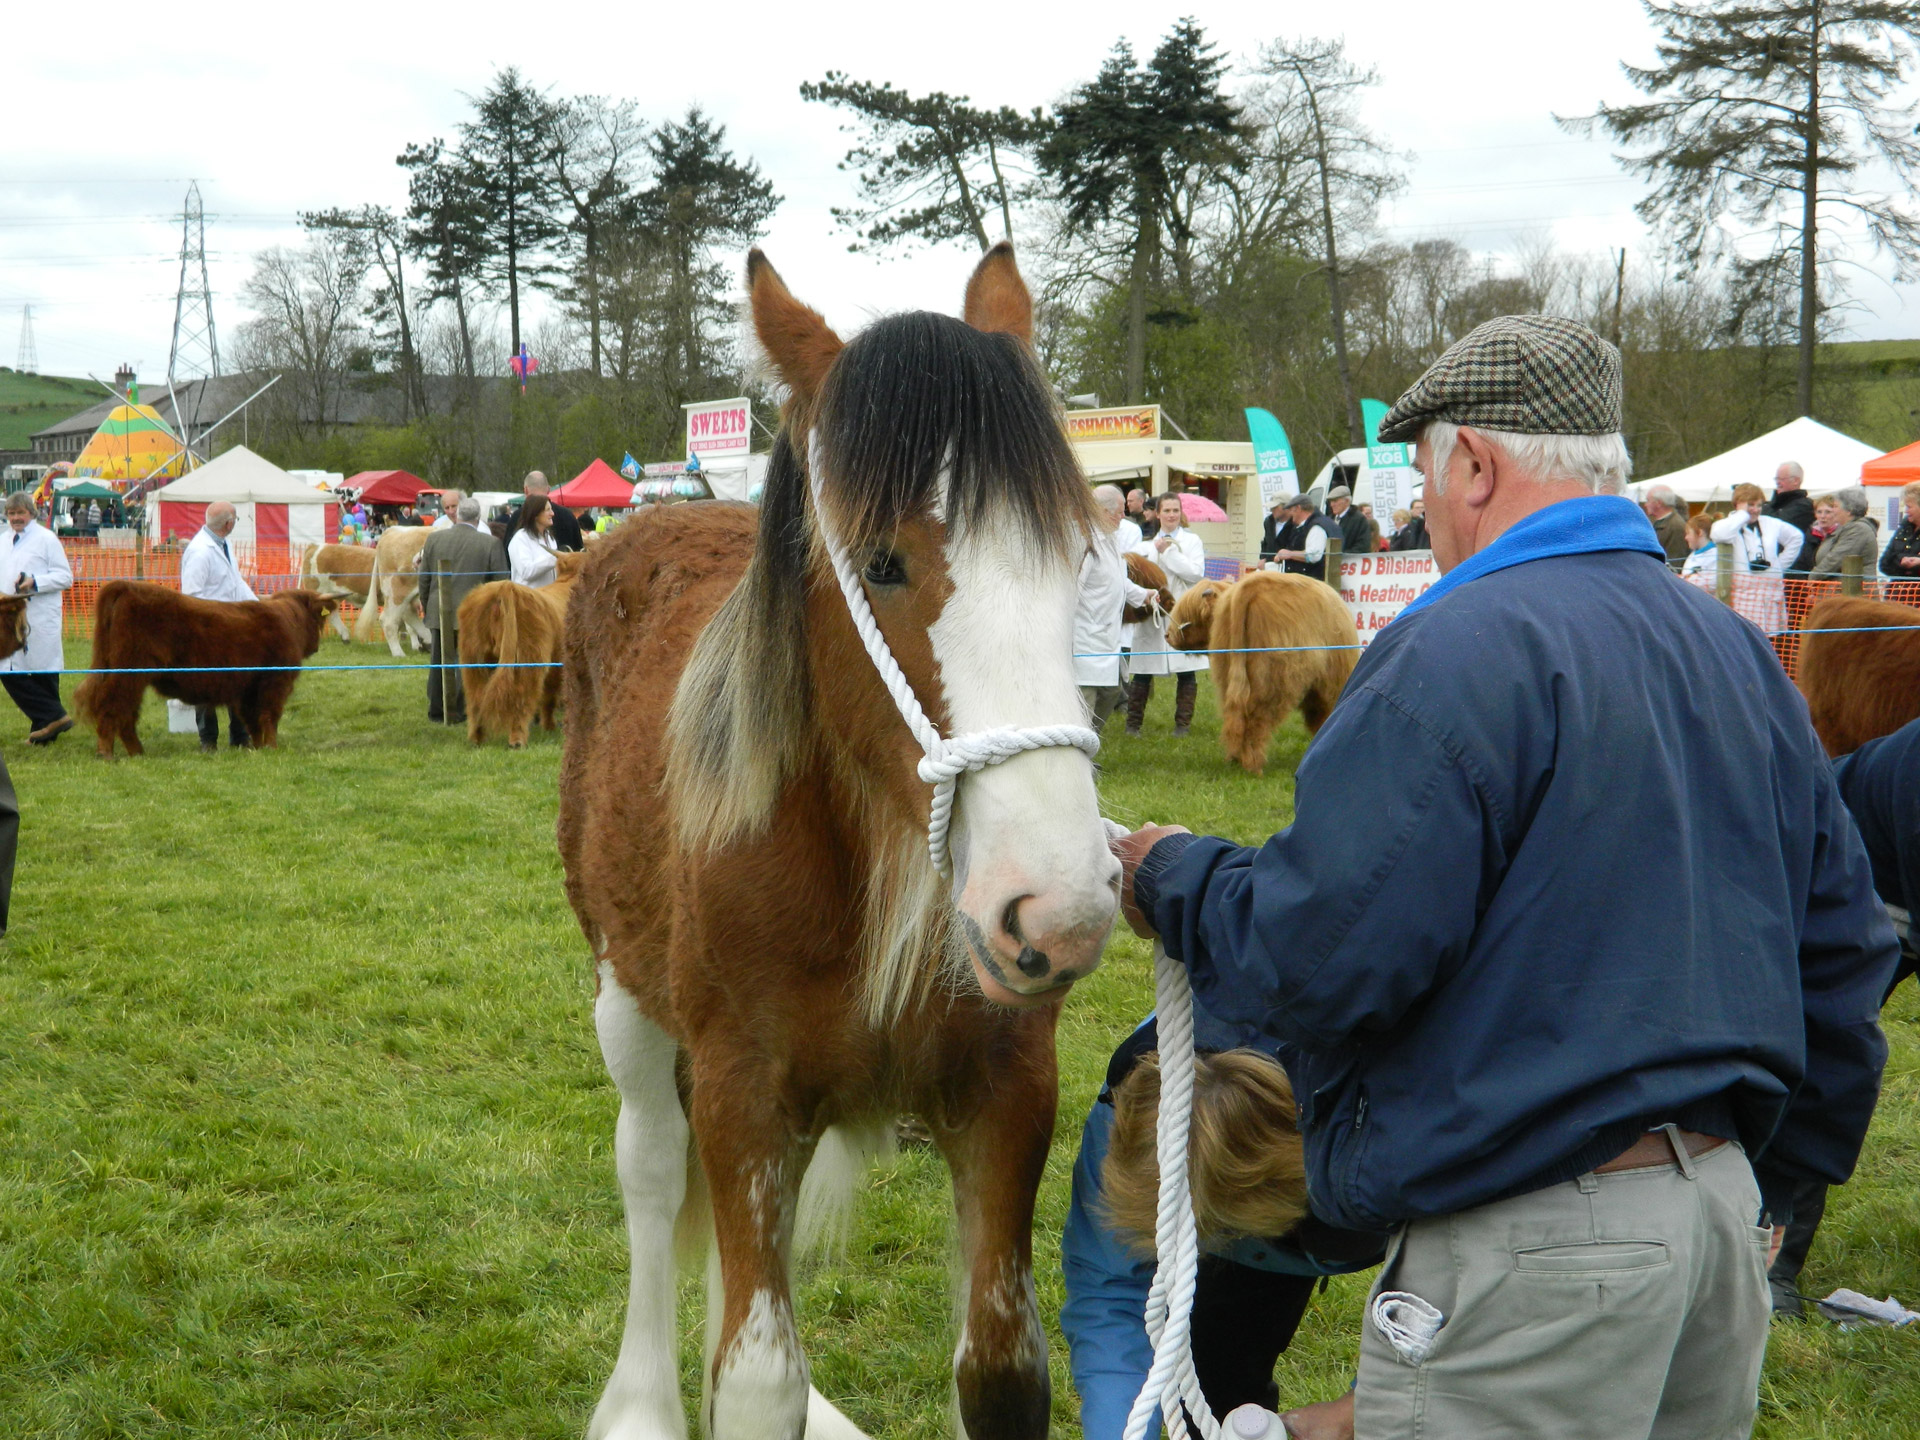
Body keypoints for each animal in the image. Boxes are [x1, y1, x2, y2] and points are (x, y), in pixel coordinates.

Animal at [74, 587, 341, 768]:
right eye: (320, 619)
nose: (316, 646)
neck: (287, 619)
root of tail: (126, 587)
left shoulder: (247, 690)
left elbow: (253, 721)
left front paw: (257, 748)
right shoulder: (275, 683)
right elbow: (269, 718)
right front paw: (272, 748)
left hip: (123, 676)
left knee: (125, 715)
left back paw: (138, 753)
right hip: (127, 676)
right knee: (112, 710)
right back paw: (107, 753)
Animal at [556, 242, 1121, 1436]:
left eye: (1079, 557)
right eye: (880, 561)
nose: (1057, 904)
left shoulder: (1008, 1094)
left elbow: (1002, 1371)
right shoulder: (745, 1096)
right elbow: (757, 1377)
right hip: (626, 995)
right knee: (651, 1173)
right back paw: (641, 1402)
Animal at [1159, 572, 1359, 779]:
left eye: (1189, 613)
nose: (1167, 635)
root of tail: (1247, 587)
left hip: (1231, 677)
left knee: (1235, 718)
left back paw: (1235, 759)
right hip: (1271, 680)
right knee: (1257, 721)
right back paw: (1254, 766)